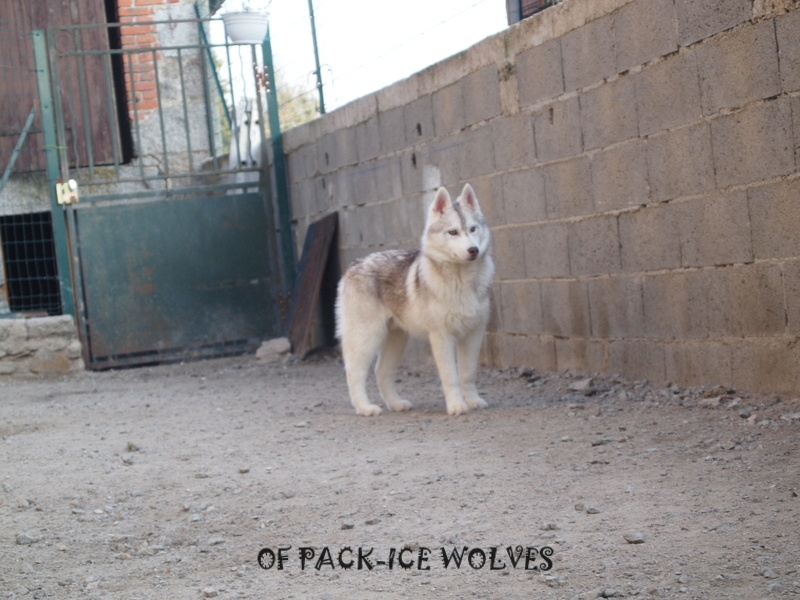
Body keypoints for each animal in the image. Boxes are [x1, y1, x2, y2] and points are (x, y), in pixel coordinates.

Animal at [336, 183, 494, 416]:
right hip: (367, 337)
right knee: (354, 373)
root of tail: (355, 264)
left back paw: (396, 404)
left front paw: (473, 401)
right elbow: (451, 377)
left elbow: (467, 374)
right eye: (453, 232)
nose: (473, 250)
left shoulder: (473, 335)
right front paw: (456, 406)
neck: (461, 282)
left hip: (396, 340)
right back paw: (365, 408)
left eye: (473, 229)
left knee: (381, 372)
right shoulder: (442, 337)